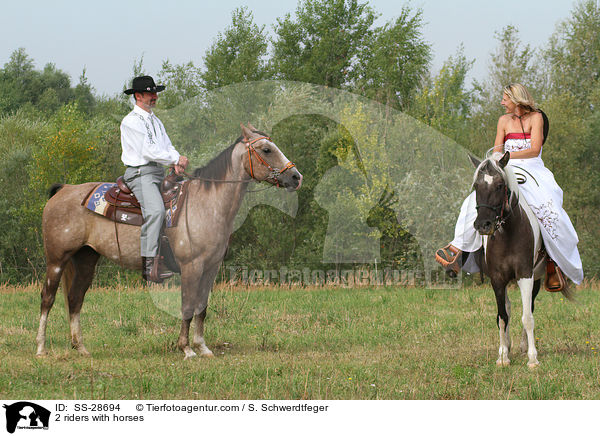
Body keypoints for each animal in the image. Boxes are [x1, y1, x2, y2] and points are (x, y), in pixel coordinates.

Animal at [35, 122, 302, 358]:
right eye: (266, 149)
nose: (296, 177)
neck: (206, 205)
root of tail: (64, 189)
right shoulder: (191, 267)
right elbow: (187, 307)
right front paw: (186, 349)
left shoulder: (210, 268)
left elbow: (202, 307)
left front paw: (203, 347)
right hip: (56, 260)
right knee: (47, 298)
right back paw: (41, 348)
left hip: (85, 259)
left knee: (75, 298)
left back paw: (80, 347)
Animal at [472, 152, 576, 366]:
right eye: (476, 186)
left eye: (499, 185)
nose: (483, 225)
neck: (507, 234)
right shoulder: (497, 279)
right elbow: (502, 316)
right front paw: (503, 356)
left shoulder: (525, 275)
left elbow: (527, 317)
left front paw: (532, 358)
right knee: (507, 309)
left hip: (536, 278)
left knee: (530, 308)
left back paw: (522, 346)